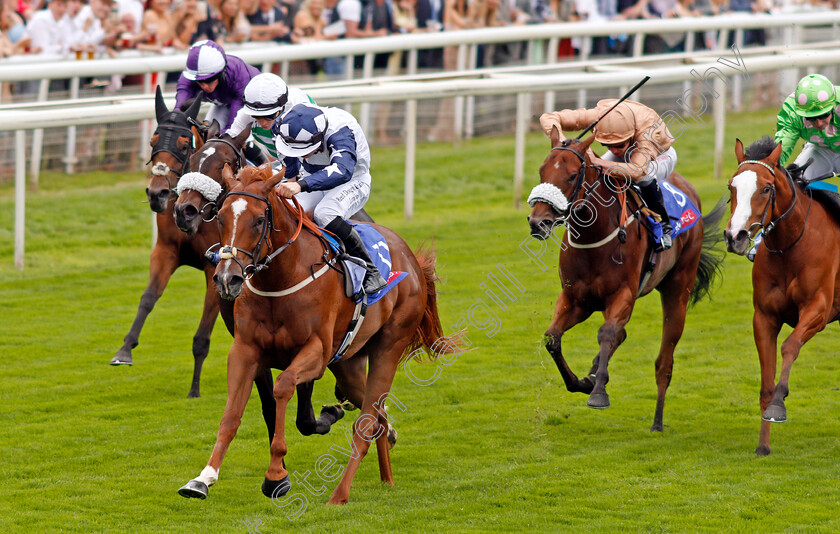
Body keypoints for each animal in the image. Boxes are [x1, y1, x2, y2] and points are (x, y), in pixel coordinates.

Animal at [176, 164, 452, 506]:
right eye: (222, 217)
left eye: (258, 220)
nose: (228, 279)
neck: (281, 278)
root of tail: (411, 259)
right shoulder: (245, 350)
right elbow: (231, 415)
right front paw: (203, 478)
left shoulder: (316, 353)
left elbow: (283, 388)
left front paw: (276, 475)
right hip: (347, 363)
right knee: (377, 418)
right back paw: (386, 477)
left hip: (388, 347)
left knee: (366, 423)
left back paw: (340, 494)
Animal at [528, 131, 724, 436]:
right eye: (542, 171)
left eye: (572, 176)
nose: (538, 222)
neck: (594, 238)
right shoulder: (576, 299)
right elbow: (552, 338)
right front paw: (583, 382)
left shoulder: (623, 295)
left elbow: (607, 334)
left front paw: (598, 393)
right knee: (622, 336)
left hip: (678, 289)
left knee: (664, 362)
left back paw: (657, 421)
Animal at [720, 137, 840, 456]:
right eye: (731, 186)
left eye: (766, 188)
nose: (735, 236)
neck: (791, 245)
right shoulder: (764, 317)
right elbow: (766, 381)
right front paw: (763, 444)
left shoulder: (818, 309)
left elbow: (789, 346)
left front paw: (777, 406)